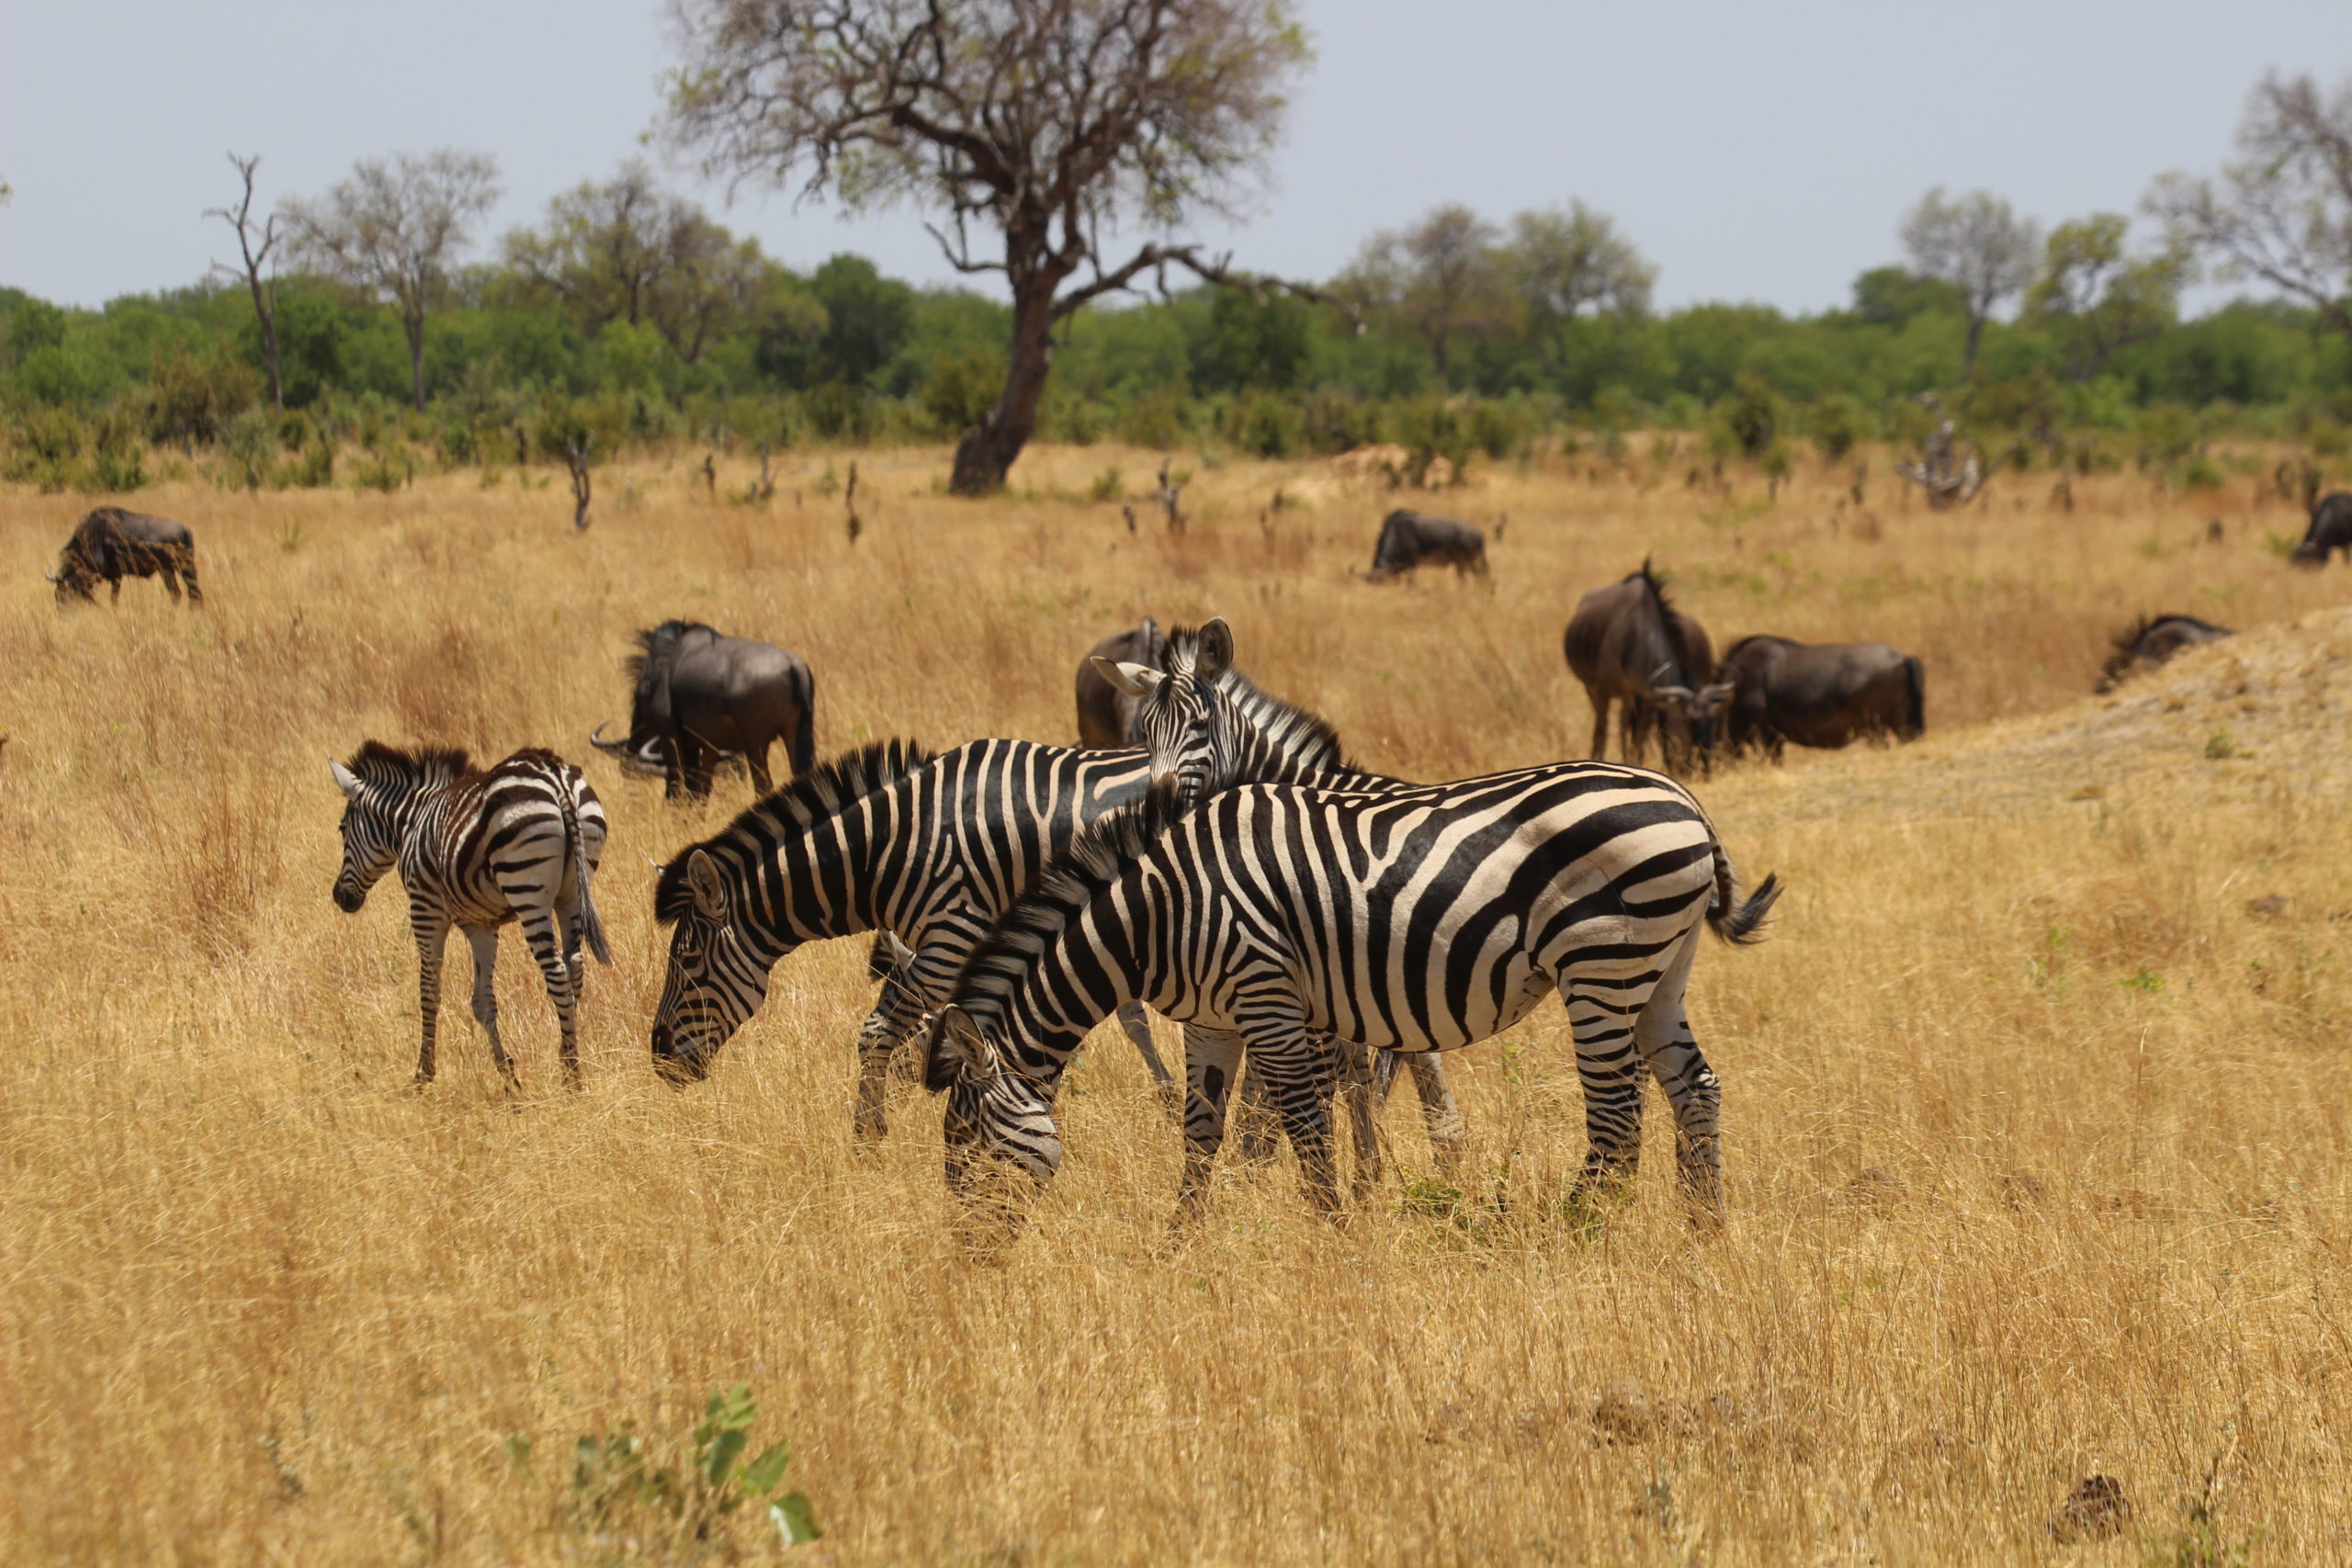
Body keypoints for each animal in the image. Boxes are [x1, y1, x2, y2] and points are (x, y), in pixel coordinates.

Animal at [331, 747, 611, 1090]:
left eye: (343, 829)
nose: (340, 897)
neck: (412, 821)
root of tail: (554, 774)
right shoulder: (481, 925)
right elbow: (483, 1002)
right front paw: (508, 1075)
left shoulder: (426, 908)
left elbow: (429, 991)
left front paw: (424, 1073)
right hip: (572, 891)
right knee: (574, 966)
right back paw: (568, 1052)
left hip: (527, 888)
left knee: (557, 972)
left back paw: (572, 1075)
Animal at [917, 771, 1778, 1241]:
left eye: (969, 1158)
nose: (970, 1262)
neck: (1159, 912)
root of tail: (1684, 800)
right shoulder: (1209, 1021)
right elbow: (1201, 1135)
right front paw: (1179, 1244)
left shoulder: (1265, 994)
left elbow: (1304, 1126)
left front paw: (1333, 1236)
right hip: (1659, 970)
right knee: (1696, 1089)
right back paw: (1704, 1231)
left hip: (1602, 961)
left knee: (1617, 1117)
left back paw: (1576, 1230)